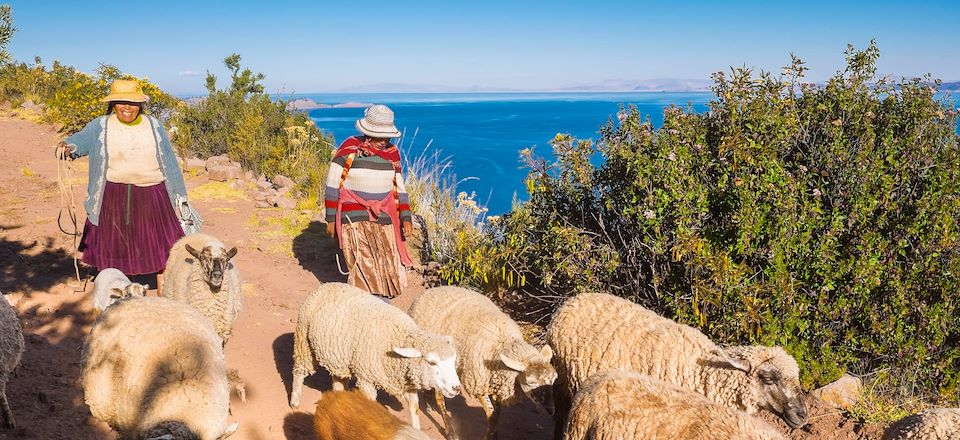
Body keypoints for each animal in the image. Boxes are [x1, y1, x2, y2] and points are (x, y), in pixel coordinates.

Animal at [288, 282, 462, 430]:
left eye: (453, 361)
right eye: (432, 362)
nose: (456, 388)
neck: (398, 336)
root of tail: (326, 285)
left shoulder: (408, 382)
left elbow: (415, 408)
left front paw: (416, 429)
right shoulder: (366, 378)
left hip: (338, 358)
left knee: (337, 379)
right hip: (303, 341)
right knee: (299, 371)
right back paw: (295, 401)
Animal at [408, 286, 560, 440]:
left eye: (554, 380)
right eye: (530, 382)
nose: (550, 411)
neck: (503, 343)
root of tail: (428, 292)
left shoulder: (495, 381)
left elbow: (496, 414)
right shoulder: (478, 382)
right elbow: (491, 414)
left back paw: (428, 403)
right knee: (439, 398)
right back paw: (450, 432)